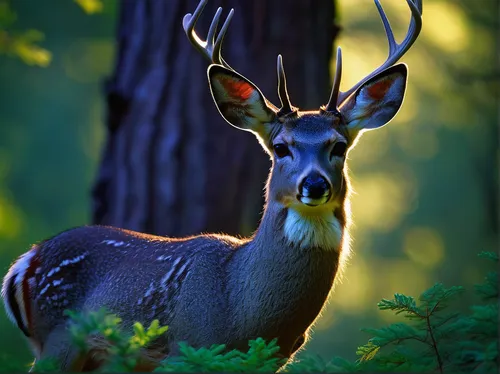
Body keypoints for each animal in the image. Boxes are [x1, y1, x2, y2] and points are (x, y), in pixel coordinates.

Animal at [1, 0, 422, 370]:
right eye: (281, 147)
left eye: (338, 146)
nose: (315, 184)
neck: (241, 312)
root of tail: (23, 263)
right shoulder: (185, 348)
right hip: (58, 339)